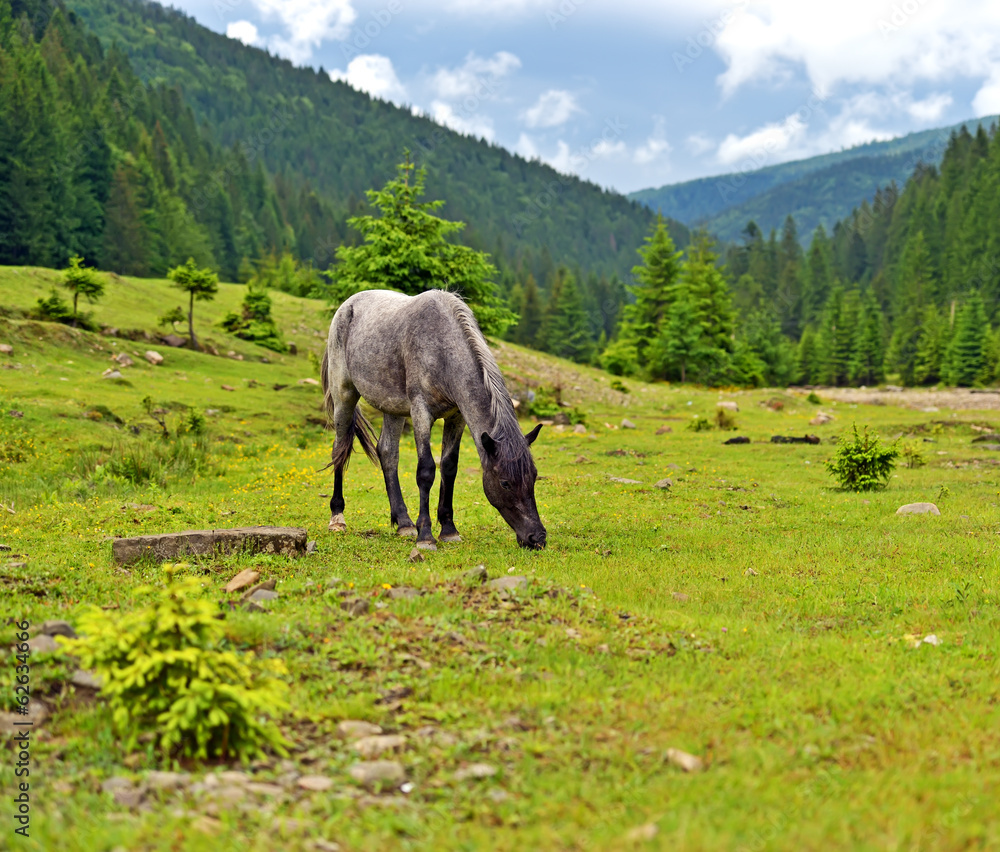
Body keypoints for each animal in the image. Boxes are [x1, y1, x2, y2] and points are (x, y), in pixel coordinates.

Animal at [320, 289, 547, 550]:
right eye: (505, 483)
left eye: (533, 477)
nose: (537, 538)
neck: (442, 349)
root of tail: (347, 305)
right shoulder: (421, 412)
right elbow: (426, 470)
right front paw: (426, 536)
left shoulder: (456, 417)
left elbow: (449, 467)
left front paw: (448, 529)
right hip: (344, 395)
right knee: (339, 448)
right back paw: (337, 518)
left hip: (393, 408)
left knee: (387, 453)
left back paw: (404, 522)